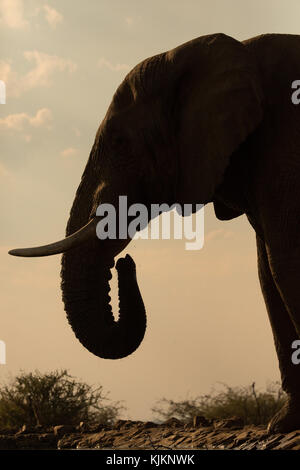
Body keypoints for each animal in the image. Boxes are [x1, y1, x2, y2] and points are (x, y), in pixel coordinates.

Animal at [8, 34, 300, 434]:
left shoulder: (282, 144)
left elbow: (284, 262)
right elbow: (267, 272)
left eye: (119, 142)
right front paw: (284, 424)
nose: (125, 263)